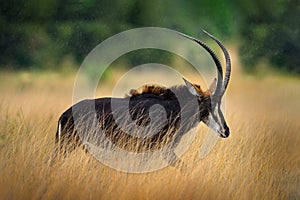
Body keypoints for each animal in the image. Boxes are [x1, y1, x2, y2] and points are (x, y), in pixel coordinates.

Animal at [54, 30, 232, 165]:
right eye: (208, 105)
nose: (226, 131)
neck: (173, 108)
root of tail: (64, 115)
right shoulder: (156, 150)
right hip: (67, 145)